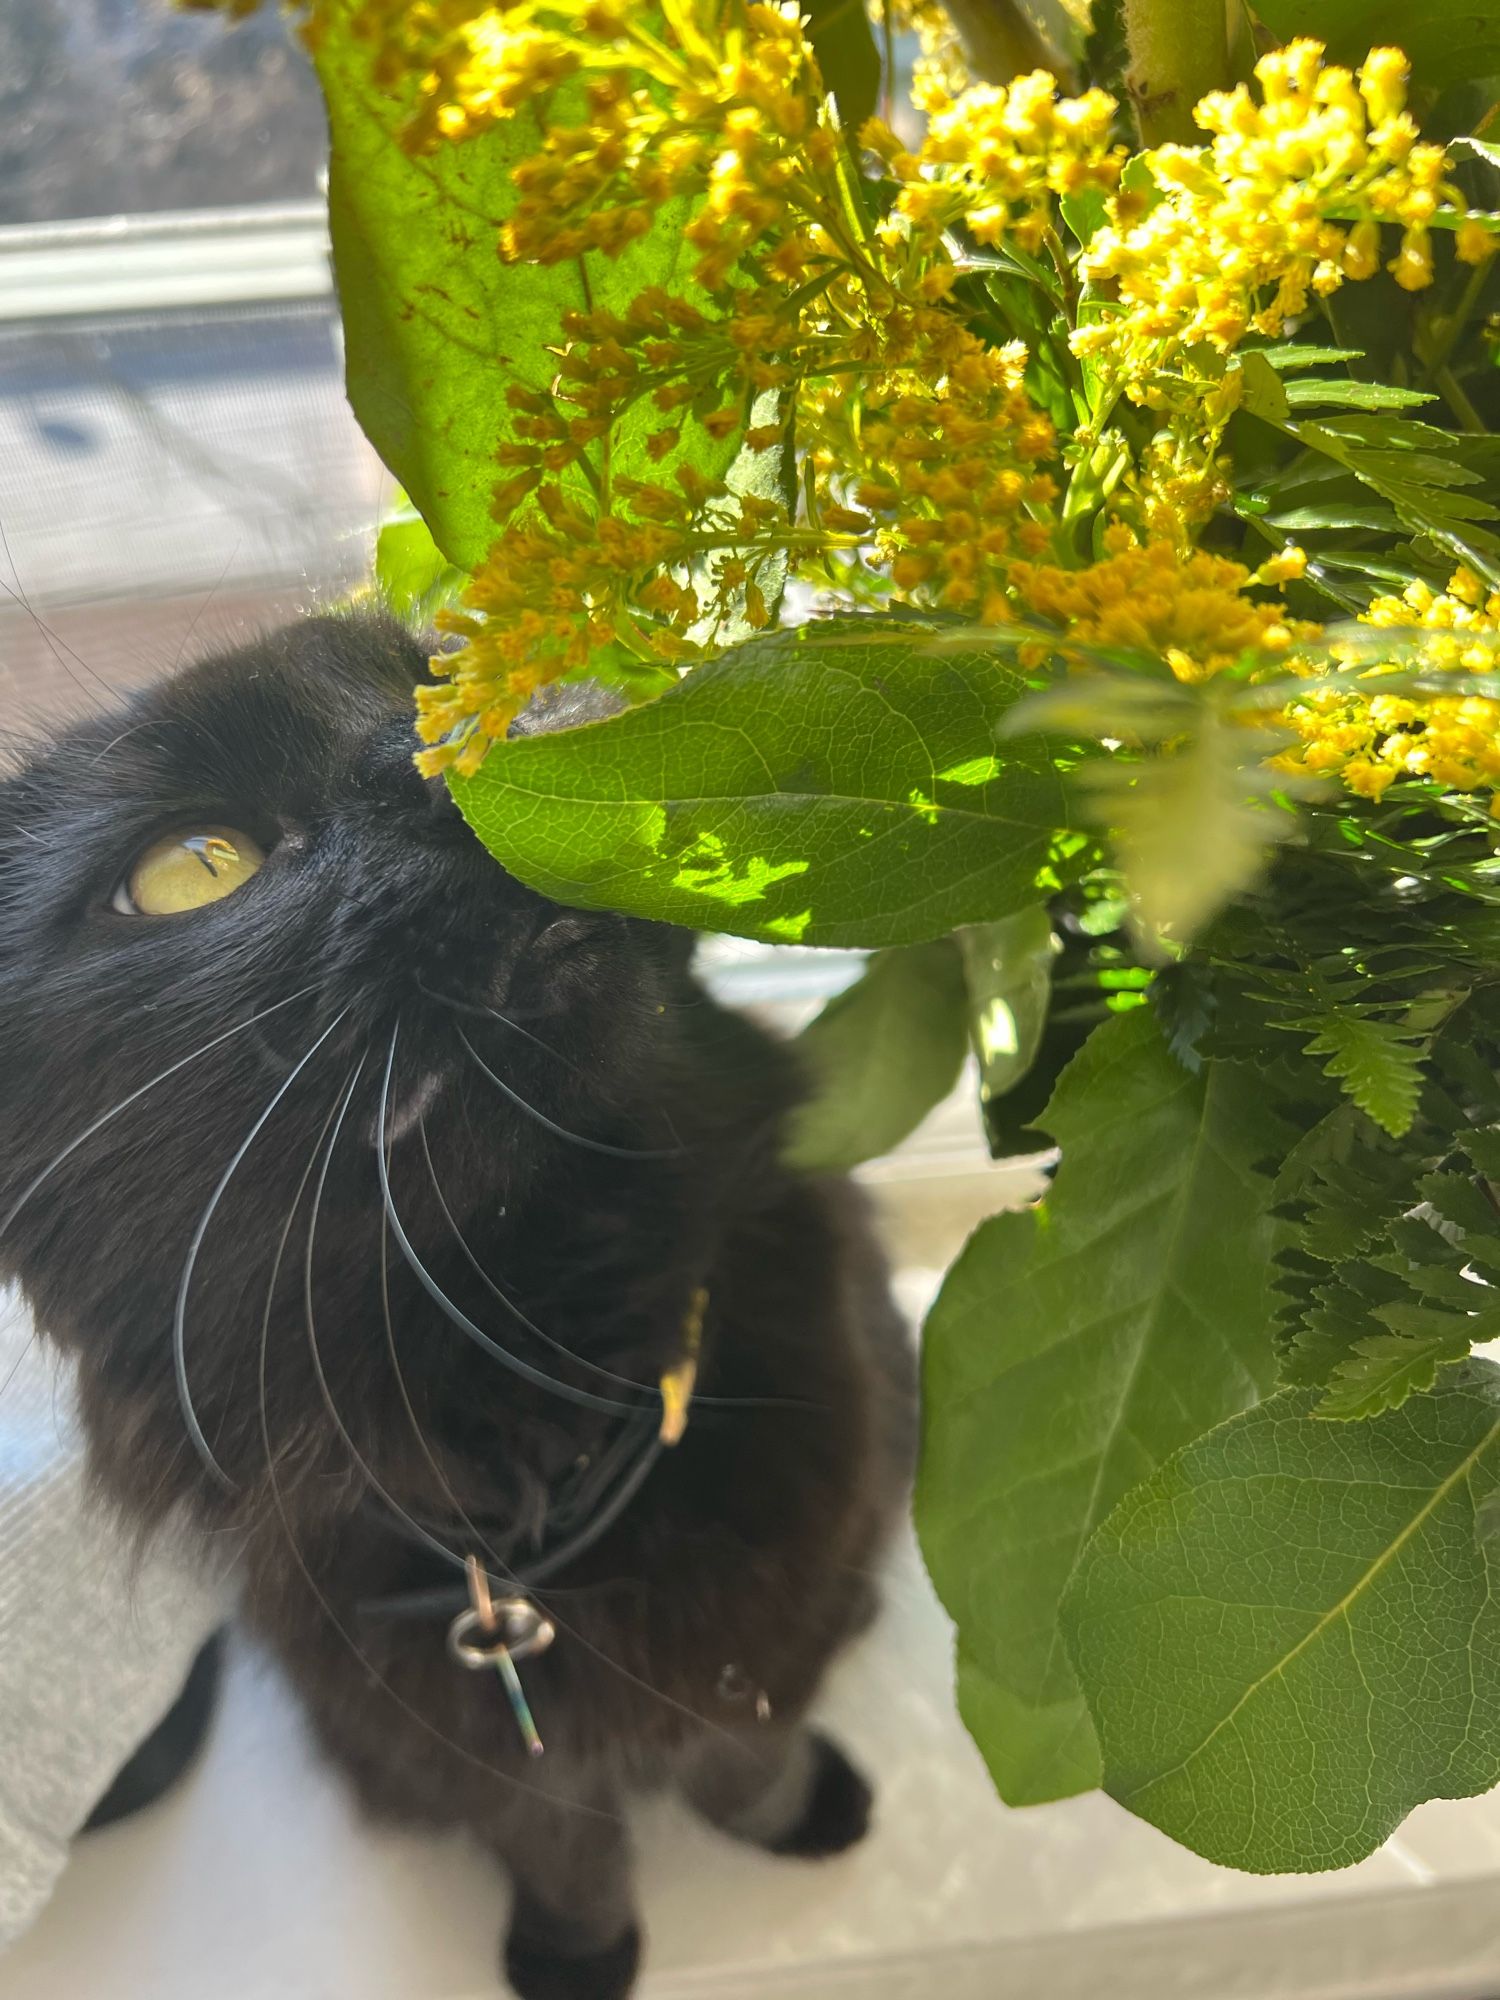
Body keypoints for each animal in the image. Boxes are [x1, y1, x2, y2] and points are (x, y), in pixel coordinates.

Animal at [0, 612, 916, 2000]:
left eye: (439, 669)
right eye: (190, 868)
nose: (449, 750)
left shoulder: (757, 1642)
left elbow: (743, 1753)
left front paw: (800, 1815)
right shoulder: (455, 1746)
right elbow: (560, 1843)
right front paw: (578, 1956)